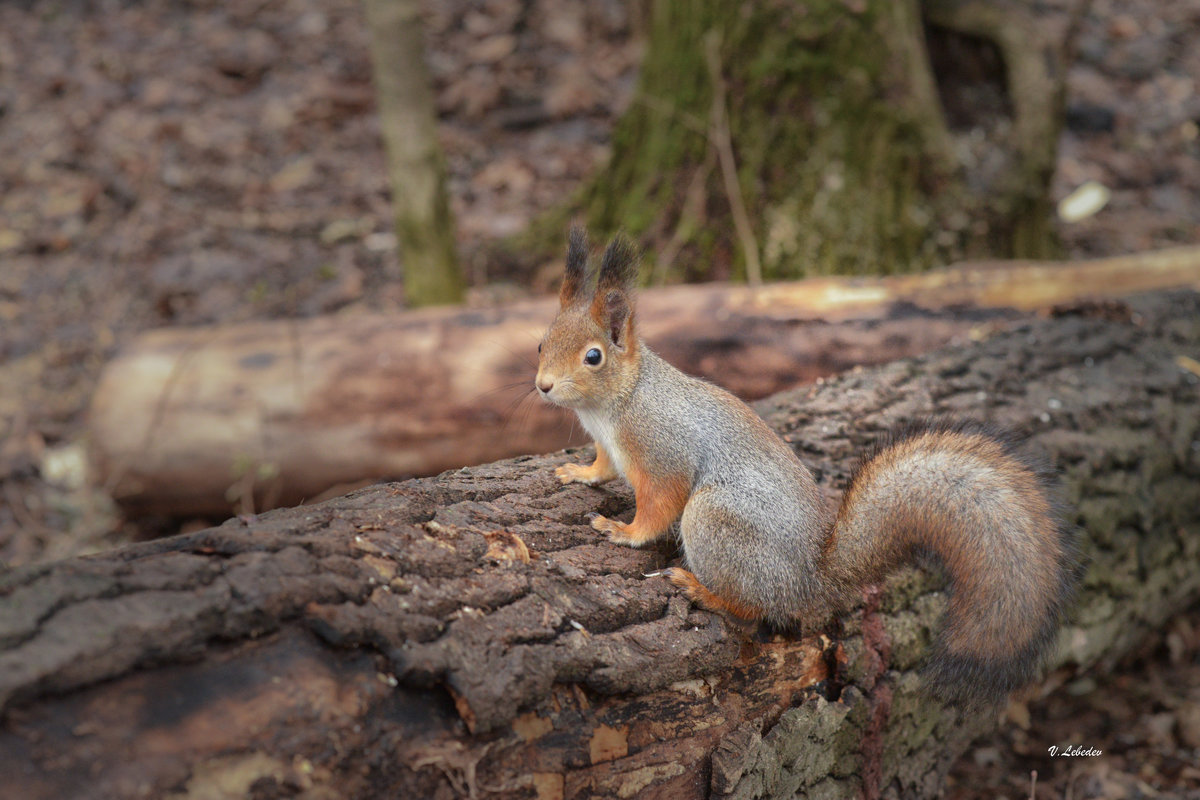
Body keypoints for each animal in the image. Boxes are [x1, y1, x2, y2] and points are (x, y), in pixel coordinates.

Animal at [532, 226, 1080, 705]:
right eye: (541, 342)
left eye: (594, 357)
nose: (542, 386)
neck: (615, 404)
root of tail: (813, 580)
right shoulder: (609, 446)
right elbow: (603, 467)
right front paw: (578, 474)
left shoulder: (663, 452)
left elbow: (657, 506)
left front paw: (623, 531)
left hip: (715, 521)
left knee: (753, 607)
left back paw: (701, 589)